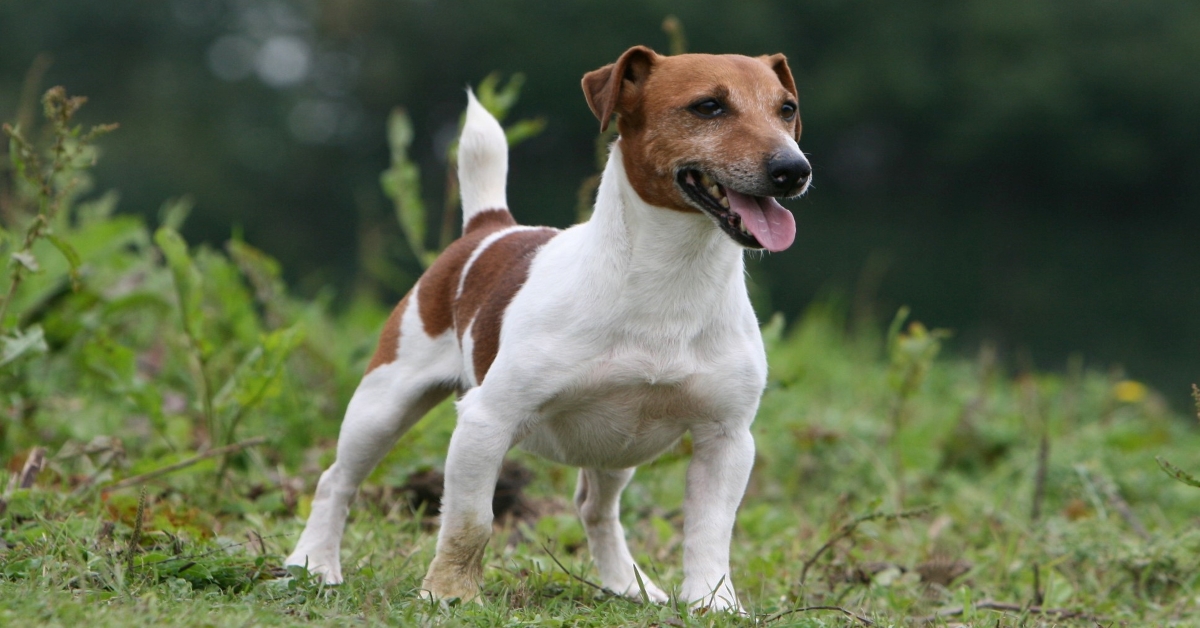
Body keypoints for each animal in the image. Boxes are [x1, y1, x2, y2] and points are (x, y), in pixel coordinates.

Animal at [285, 45, 811, 614]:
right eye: (708, 106)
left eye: (786, 109)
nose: (793, 170)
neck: (673, 283)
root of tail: (490, 227)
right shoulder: (486, 422)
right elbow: (471, 522)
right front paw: (447, 595)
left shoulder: (727, 438)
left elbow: (711, 532)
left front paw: (714, 605)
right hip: (383, 405)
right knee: (337, 480)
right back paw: (313, 564)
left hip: (615, 448)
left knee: (595, 509)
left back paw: (629, 585)